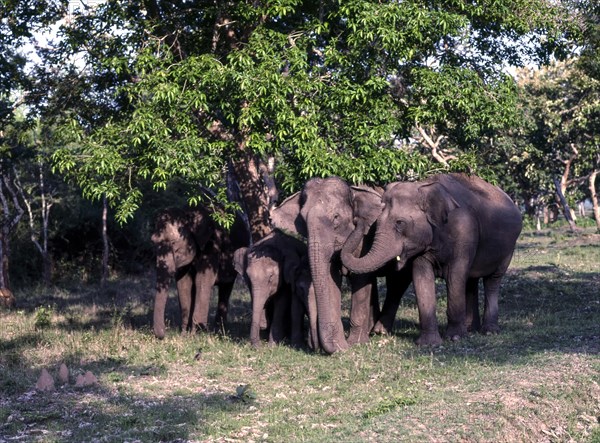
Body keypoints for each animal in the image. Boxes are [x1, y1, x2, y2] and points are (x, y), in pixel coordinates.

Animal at [154, 208, 252, 340]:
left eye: (174, 243)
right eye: (153, 243)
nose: (164, 335)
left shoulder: (212, 245)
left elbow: (202, 280)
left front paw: (197, 336)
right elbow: (184, 283)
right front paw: (184, 335)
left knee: (225, 289)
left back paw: (219, 331)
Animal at [270, 177, 400, 354]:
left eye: (336, 217)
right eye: (302, 219)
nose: (315, 346)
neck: (353, 191)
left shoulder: (365, 240)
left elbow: (360, 279)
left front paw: (355, 344)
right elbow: (331, 278)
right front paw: (340, 346)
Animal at [340, 174, 524, 346]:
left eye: (400, 223)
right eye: (376, 223)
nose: (358, 221)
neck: (424, 186)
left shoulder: (465, 234)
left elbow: (455, 276)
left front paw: (455, 338)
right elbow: (422, 277)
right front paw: (428, 343)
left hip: (508, 248)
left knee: (492, 281)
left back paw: (489, 331)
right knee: (471, 282)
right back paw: (471, 329)